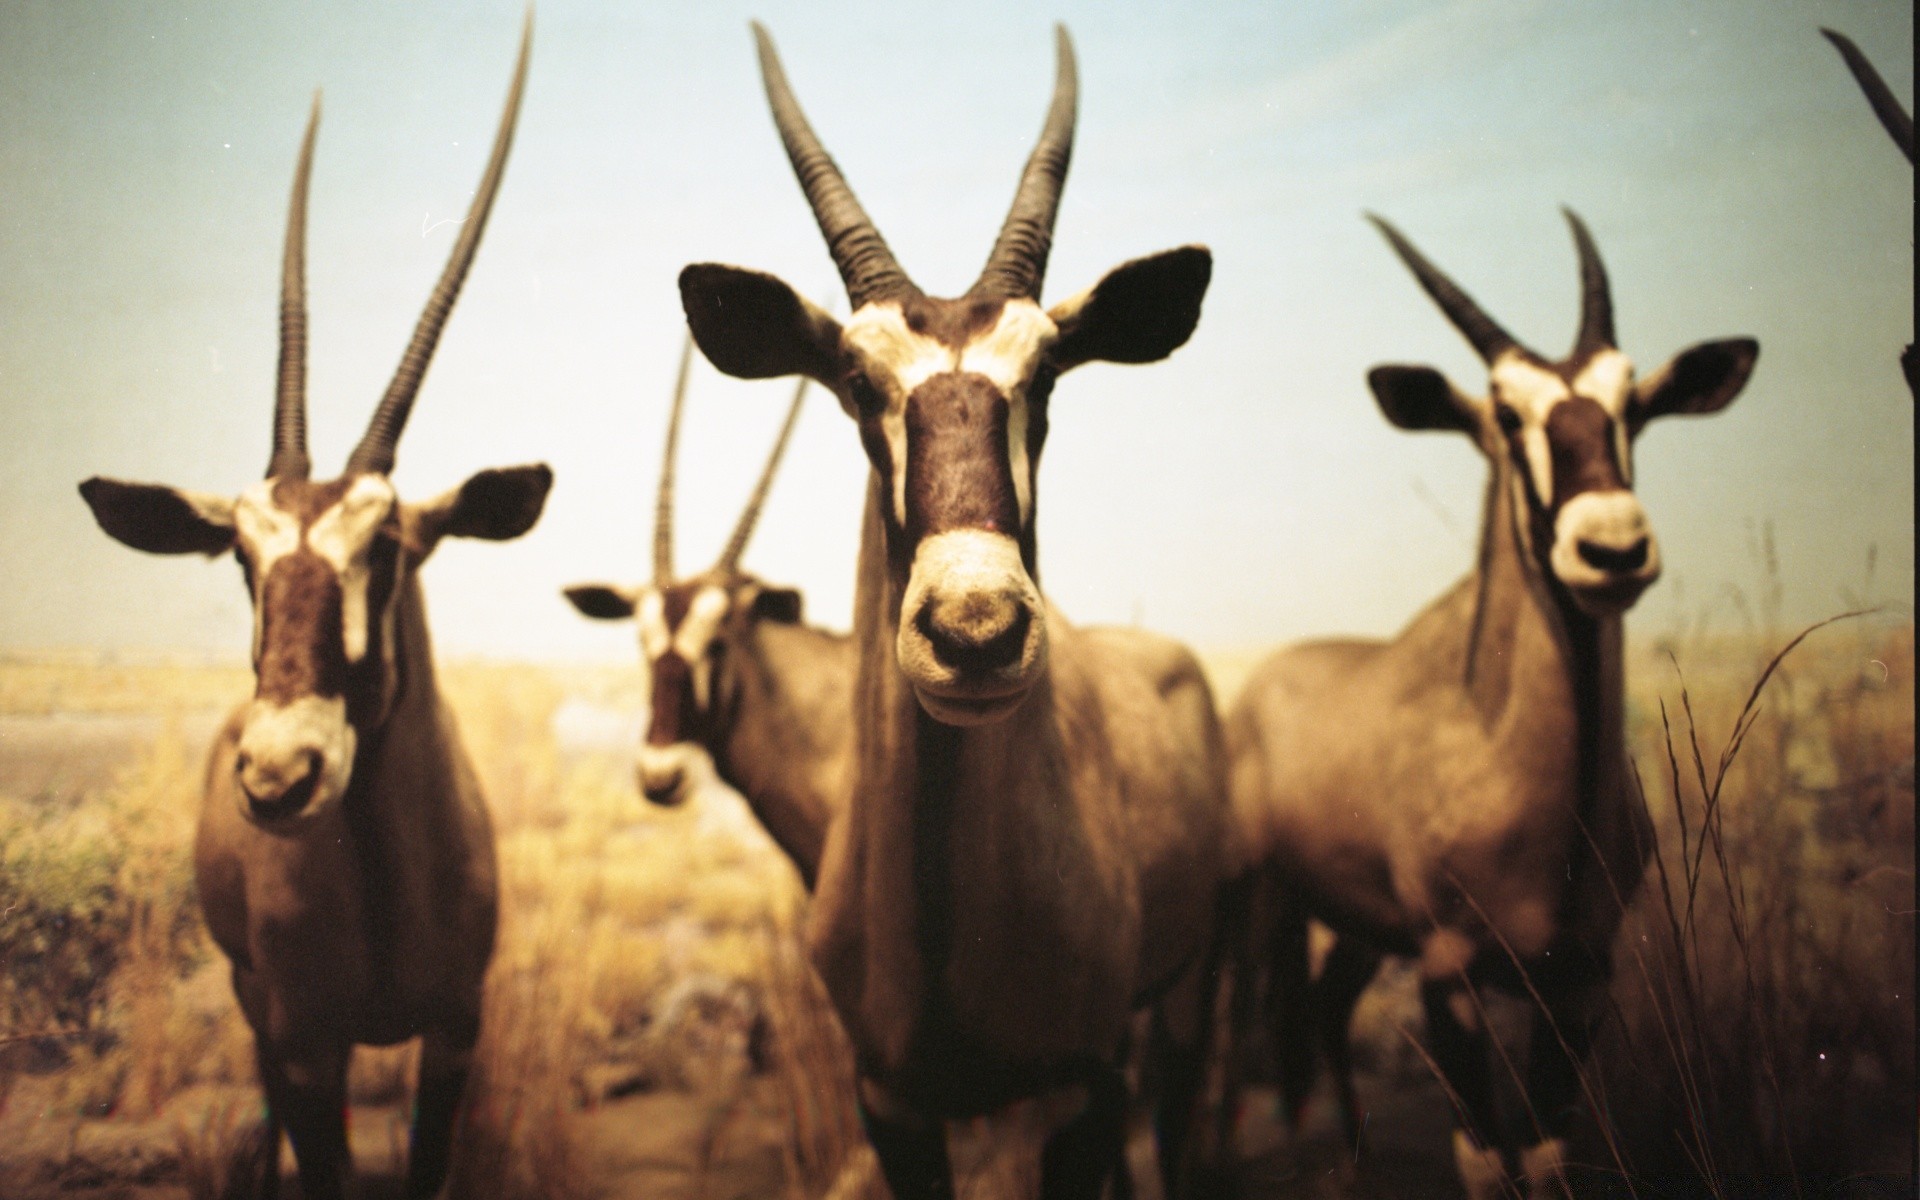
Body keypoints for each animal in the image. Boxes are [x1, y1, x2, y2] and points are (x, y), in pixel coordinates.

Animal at [74, 18, 541, 1198]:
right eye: (241, 555)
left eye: (390, 544)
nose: (280, 777)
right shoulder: (302, 1045)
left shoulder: (453, 1034)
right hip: (252, 1004)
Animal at [679, 23, 1228, 1190]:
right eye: (855, 383)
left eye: (1049, 377)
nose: (975, 633)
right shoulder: (892, 1103)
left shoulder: (1086, 1089)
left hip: (1188, 987)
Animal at [1228, 210, 1758, 1190]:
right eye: (1508, 415)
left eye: (1633, 405)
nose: (1612, 549)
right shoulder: (1452, 978)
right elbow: (1483, 1160)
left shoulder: (1580, 983)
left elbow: (1543, 1158)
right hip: (1260, 907)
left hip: (1362, 927)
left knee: (1325, 1006)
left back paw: (1358, 1159)